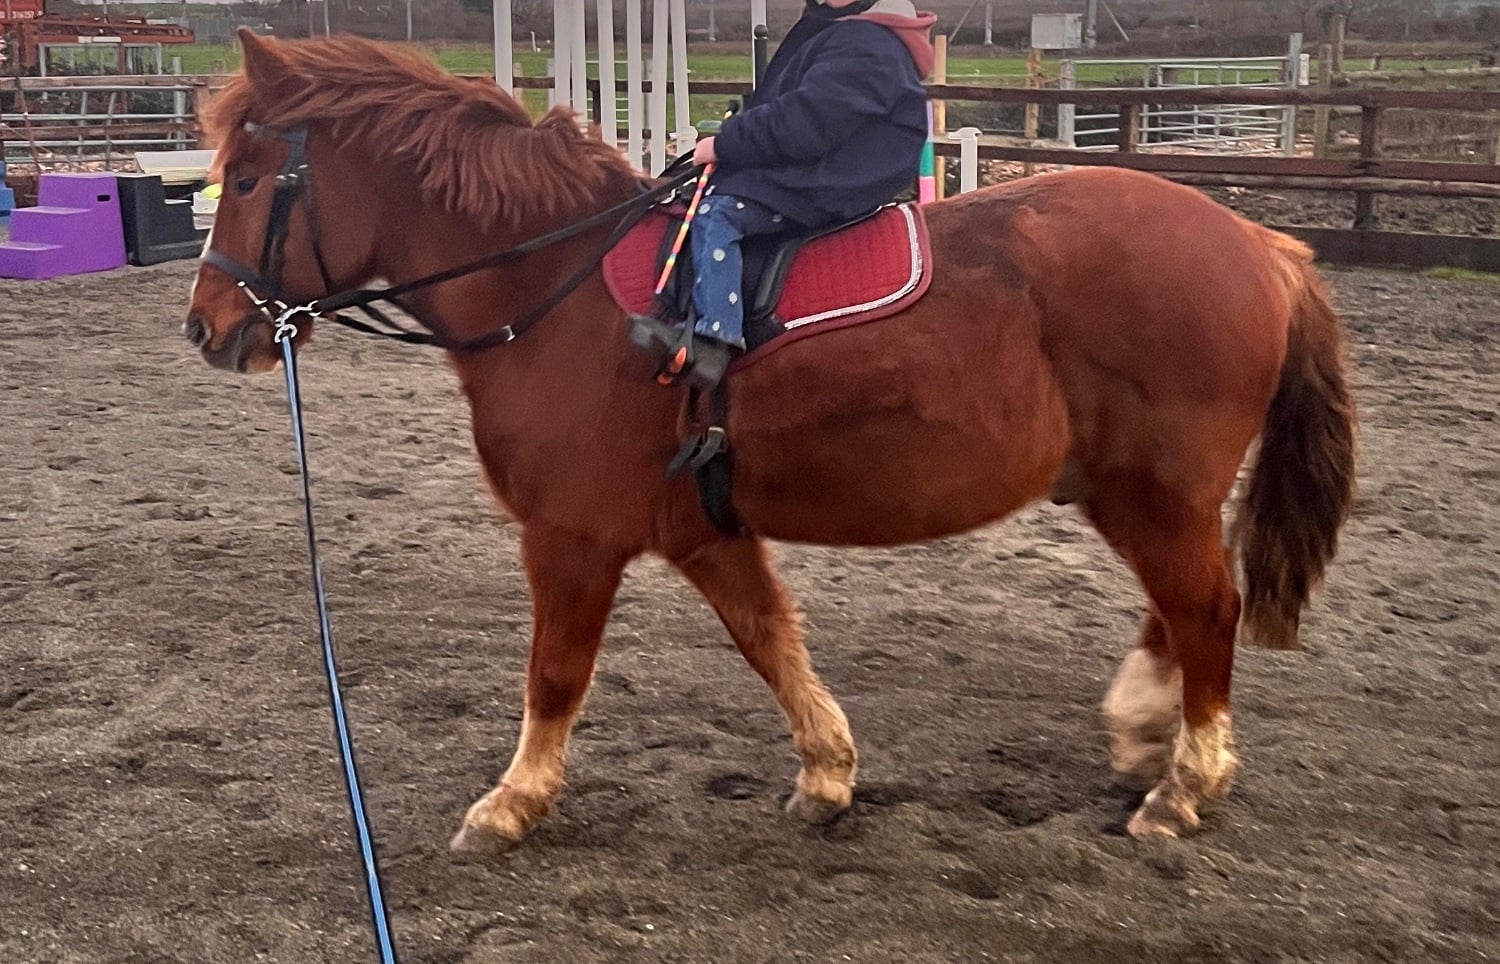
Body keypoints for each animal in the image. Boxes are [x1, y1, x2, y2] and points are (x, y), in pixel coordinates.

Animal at [185, 29, 1356, 856]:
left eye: (245, 178)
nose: (205, 326)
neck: (555, 290)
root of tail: (1257, 240)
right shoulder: (704, 531)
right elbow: (770, 639)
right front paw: (828, 772)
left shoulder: (571, 539)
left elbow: (555, 675)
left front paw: (512, 803)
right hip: (1141, 492)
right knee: (1180, 610)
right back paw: (1144, 729)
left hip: (1152, 491)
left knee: (1206, 610)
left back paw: (1183, 786)